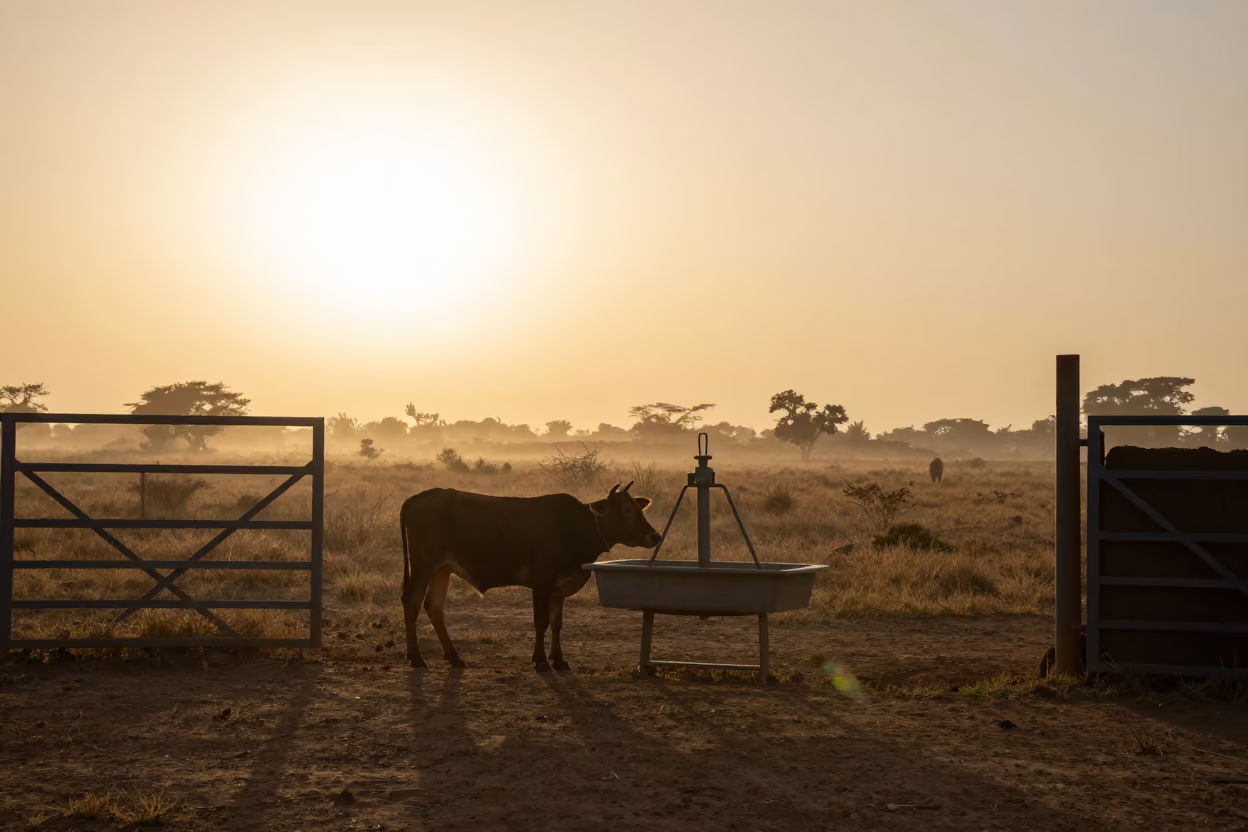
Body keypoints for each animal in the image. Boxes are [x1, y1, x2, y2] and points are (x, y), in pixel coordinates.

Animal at [399, 481, 661, 673]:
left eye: (639, 509)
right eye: (627, 511)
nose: (655, 536)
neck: (574, 526)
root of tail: (415, 499)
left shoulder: (559, 588)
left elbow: (556, 623)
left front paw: (559, 660)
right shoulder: (541, 584)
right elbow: (541, 621)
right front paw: (541, 660)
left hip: (442, 569)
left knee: (434, 607)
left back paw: (453, 657)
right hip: (424, 565)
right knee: (412, 602)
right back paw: (416, 658)